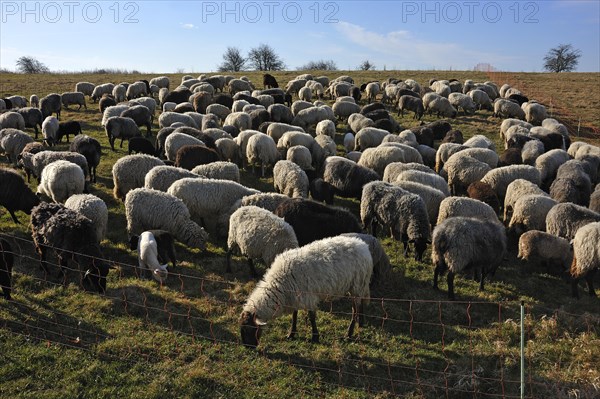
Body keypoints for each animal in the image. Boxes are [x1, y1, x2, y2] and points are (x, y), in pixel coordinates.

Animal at [238, 236, 370, 348]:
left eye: (249, 328)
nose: (248, 347)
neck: (279, 283)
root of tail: (363, 245)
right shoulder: (295, 296)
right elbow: (294, 315)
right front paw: (291, 334)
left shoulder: (308, 297)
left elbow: (311, 317)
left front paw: (315, 337)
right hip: (356, 287)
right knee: (358, 305)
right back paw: (360, 324)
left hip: (357, 285)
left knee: (355, 310)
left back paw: (349, 334)